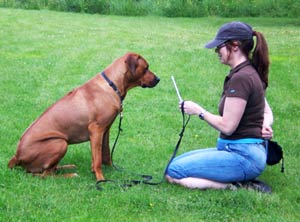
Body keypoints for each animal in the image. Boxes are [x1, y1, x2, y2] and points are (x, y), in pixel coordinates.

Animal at [7, 53, 159, 181]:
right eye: (146, 68)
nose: (158, 79)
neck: (112, 85)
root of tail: (16, 156)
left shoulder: (105, 129)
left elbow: (105, 153)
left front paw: (111, 170)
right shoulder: (96, 129)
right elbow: (97, 159)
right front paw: (100, 179)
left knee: (50, 170)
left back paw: (67, 167)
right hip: (60, 143)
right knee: (46, 175)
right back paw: (70, 175)